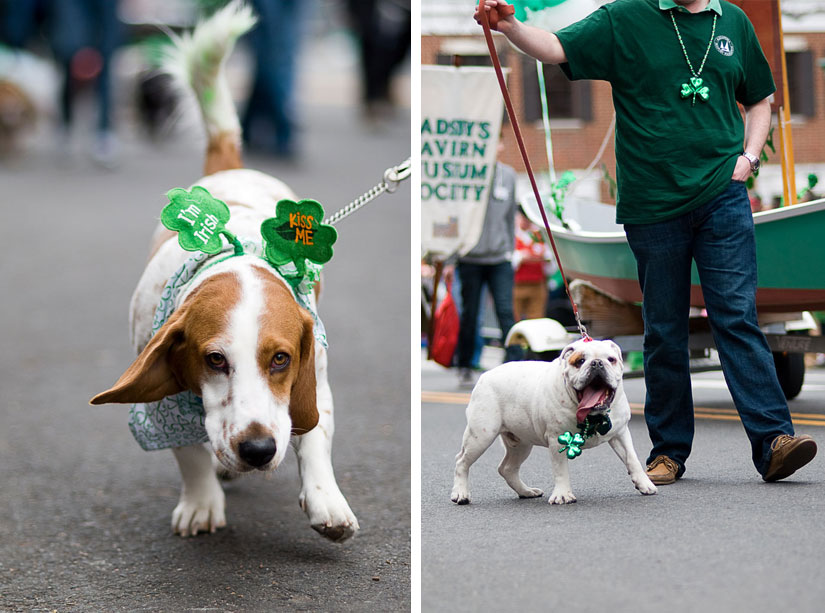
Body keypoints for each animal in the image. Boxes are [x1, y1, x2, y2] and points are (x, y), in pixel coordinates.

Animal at [90, 3, 358, 540]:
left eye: (281, 359)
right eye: (214, 359)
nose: (257, 451)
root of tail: (228, 163)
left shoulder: (313, 379)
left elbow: (314, 435)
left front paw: (326, 500)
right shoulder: (165, 397)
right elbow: (189, 453)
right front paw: (201, 501)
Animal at [450, 338, 656, 504]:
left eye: (611, 359)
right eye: (580, 361)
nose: (597, 363)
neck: (591, 414)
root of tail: (485, 376)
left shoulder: (620, 433)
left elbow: (632, 459)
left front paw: (645, 483)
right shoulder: (557, 439)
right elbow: (560, 469)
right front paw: (563, 495)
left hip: (521, 443)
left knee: (507, 468)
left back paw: (526, 492)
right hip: (481, 436)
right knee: (461, 462)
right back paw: (461, 494)